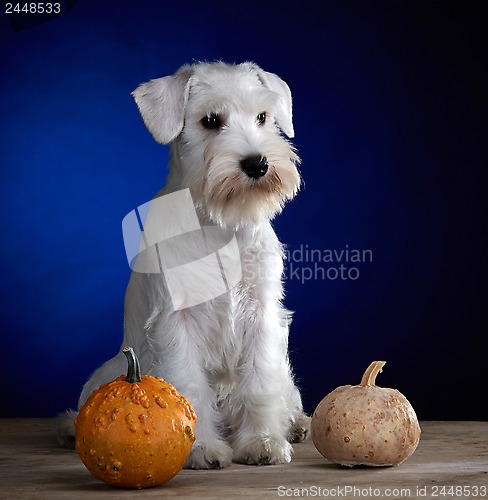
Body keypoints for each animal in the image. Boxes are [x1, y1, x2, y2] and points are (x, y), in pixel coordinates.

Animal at [60, 60, 308, 466]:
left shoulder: (261, 313)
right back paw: (69, 428)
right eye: (210, 120)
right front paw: (202, 447)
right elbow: (189, 387)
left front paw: (262, 441)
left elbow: (260, 384)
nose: (257, 164)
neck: (220, 225)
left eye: (262, 117)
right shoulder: (176, 322)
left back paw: (296, 423)